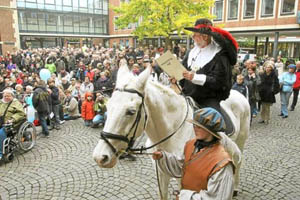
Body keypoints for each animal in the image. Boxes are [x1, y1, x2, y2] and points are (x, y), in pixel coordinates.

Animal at [92, 63, 251, 199]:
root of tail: (239, 94)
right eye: (108, 106)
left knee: (238, 160)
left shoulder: (183, 175)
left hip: (241, 141)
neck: (170, 133)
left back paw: (234, 188)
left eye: (131, 111)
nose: (100, 157)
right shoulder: (161, 169)